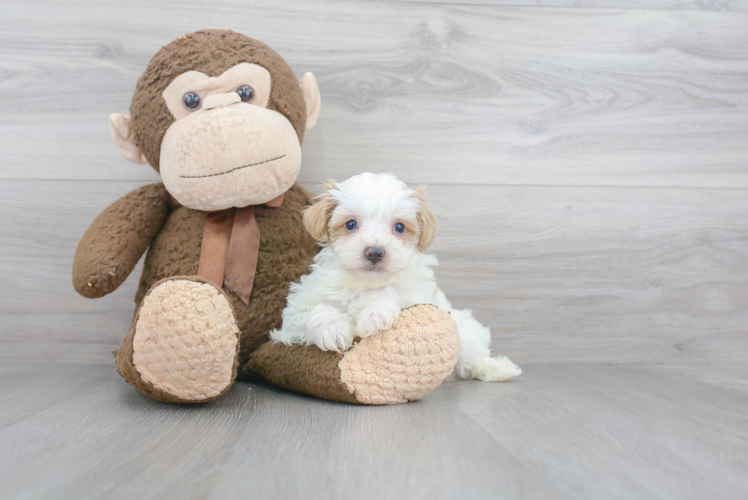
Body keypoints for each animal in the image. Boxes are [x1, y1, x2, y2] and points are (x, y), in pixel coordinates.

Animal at [268, 174, 520, 380]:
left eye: (399, 227)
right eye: (351, 224)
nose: (374, 252)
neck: (367, 284)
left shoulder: (421, 299)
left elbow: (394, 299)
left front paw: (374, 314)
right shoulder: (294, 315)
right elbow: (315, 310)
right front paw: (333, 329)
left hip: (463, 327)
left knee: (472, 354)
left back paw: (497, 369)